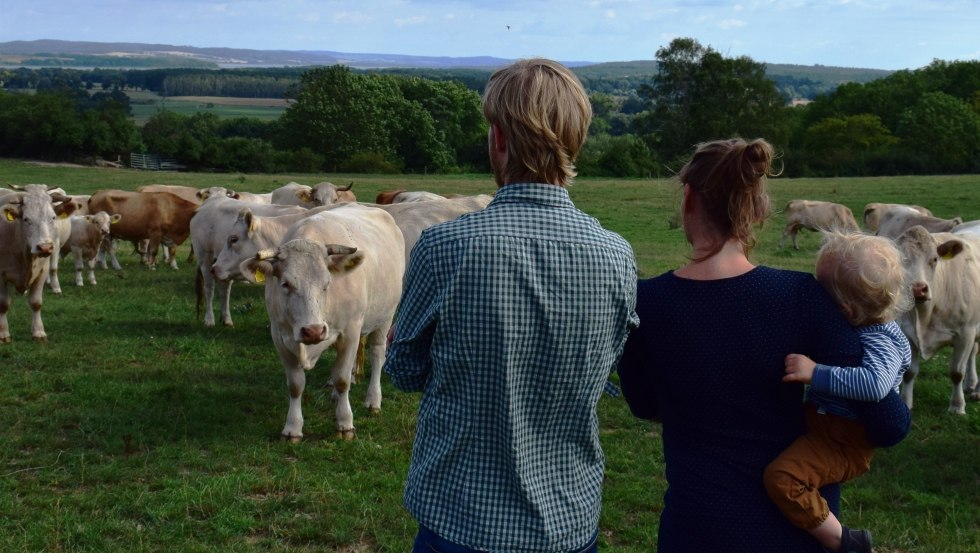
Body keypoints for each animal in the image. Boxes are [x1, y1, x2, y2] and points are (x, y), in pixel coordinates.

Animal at [1, 184, 75, 340]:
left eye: (53, 217)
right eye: (26, 219)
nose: (45, 247)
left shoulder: (42, 271)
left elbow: (36, 303)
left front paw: (39, 332)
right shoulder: (1, 275)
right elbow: (3, 304)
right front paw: (3, 333)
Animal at [239, 203, 404, 440]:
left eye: (327, 283)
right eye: (285, 284)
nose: (314, 331)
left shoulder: (351, 331)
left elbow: (343, 379)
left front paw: (345, 423)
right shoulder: (279, 336)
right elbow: (296, 385)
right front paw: (293, 427)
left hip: (385, 316)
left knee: (377, 354)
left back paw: (373, 400)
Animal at [896, 225, 980, 414]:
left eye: (934, 259)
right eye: (901, 260)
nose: (918, 289)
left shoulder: (965, 332)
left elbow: (956, 372)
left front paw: (957, 406)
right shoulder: (907, 332)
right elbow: (909, 372)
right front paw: (906, 402)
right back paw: (971, 384)